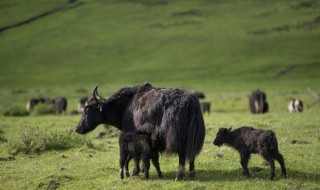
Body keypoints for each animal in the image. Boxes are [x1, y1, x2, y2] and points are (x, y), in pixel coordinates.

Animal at [75, 83, 205, 181]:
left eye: (88, 109)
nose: (78, 128)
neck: (124, 108)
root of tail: (191, 102)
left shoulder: (132, 135)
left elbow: (135, 157)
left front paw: (135, 172)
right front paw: (141, 170)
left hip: (178, 137)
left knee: (182, 155)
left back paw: (179, 176)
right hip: (192, 136)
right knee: (191, 154)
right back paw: (192, 173)